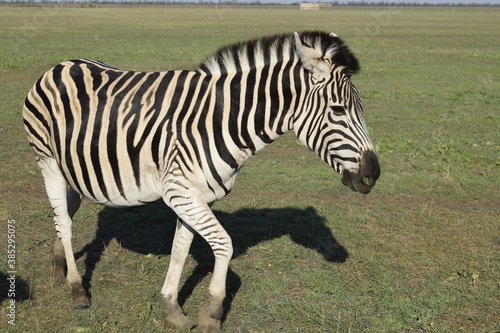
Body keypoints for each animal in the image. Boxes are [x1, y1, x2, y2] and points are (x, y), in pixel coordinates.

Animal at [24, 31, 378, 332]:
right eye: (338, 110)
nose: (372, 175)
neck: (220, 123)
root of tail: (63, 64)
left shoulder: (197, 196)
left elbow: (181, 249)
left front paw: (172, 308)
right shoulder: (179, 192)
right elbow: (224, 244)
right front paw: (212, 314)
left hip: (77, 167)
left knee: (64, 214)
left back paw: (59, 264)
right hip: (48, 161)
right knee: (64, 221)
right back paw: (76, 290)